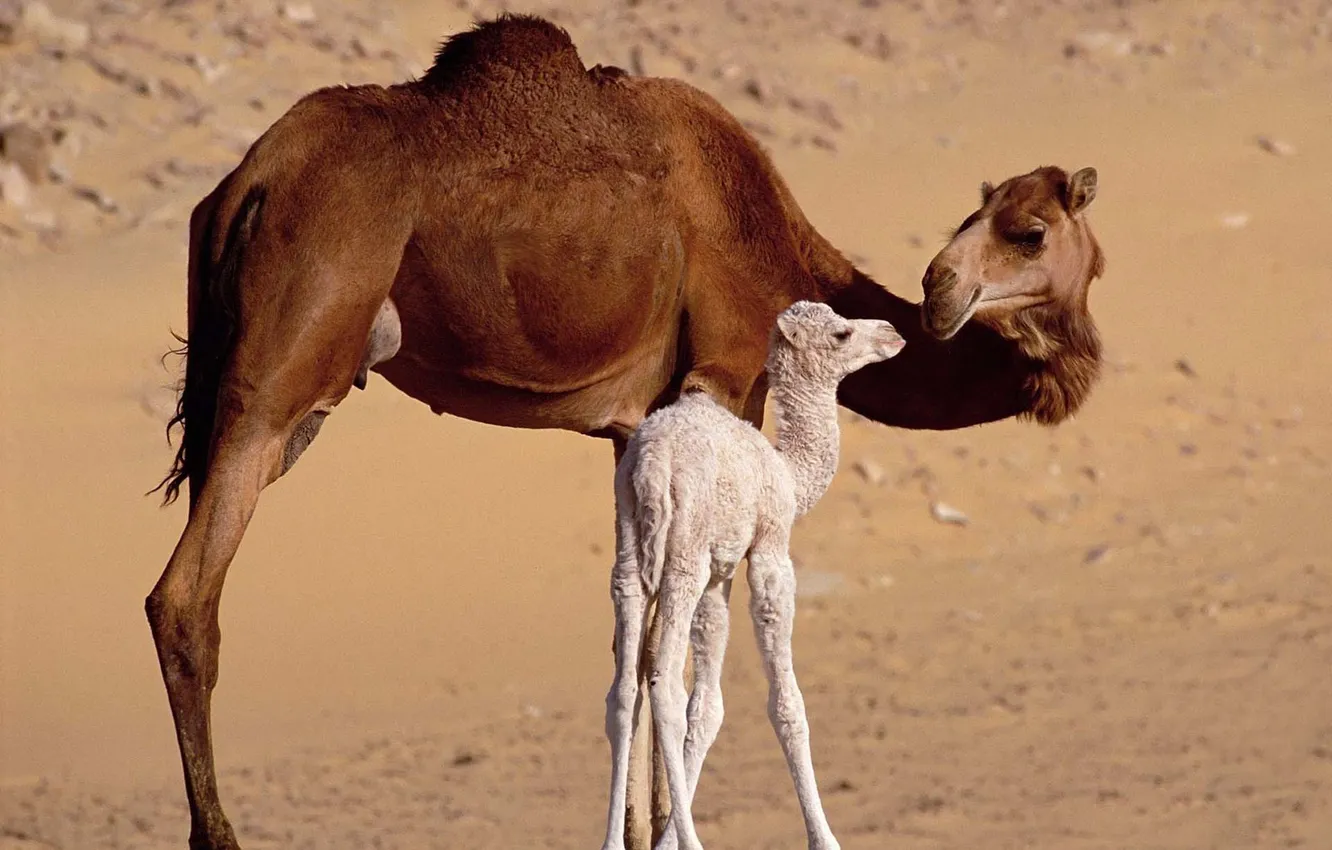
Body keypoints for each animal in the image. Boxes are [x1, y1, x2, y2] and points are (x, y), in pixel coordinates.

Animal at [604, 302, 905, 850]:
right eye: (841, 332)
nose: (892, 333)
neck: (789, 472)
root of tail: (653, 463)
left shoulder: (719, 572)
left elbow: (708, 708)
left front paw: (665, 839)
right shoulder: (768, 550)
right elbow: (787, 703)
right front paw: (823, 838)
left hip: (630, 547)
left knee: (622, 692)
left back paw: (613, 841)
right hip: (683, 554)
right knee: (663, 684)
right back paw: (694, 843)